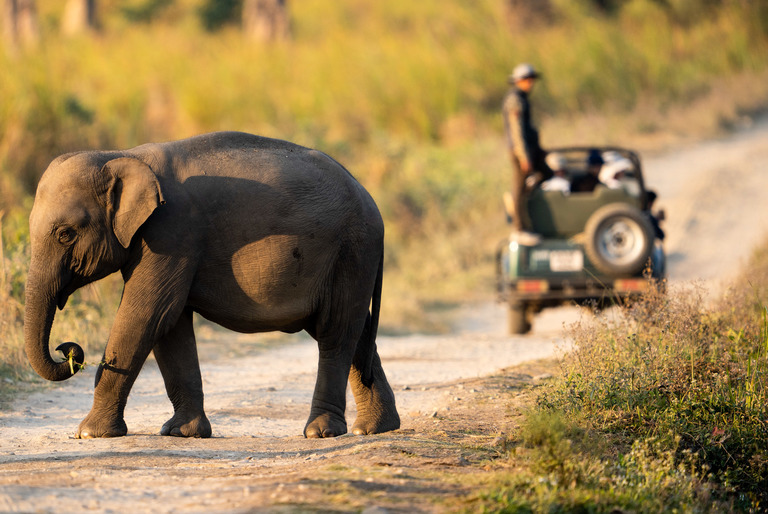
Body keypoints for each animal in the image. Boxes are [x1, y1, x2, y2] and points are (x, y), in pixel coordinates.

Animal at [22, 130, 402, 438]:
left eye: (65, 234)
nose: (68, 351)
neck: (120, 156)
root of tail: (373, 204)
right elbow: (170, 325)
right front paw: (182, 433)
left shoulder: (172, 231)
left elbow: (147, 315)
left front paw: (89, 434)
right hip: (350, 257)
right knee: (356, 331)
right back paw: (374, 429)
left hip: (352, 250)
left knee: (335, 333)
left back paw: (322, 432)